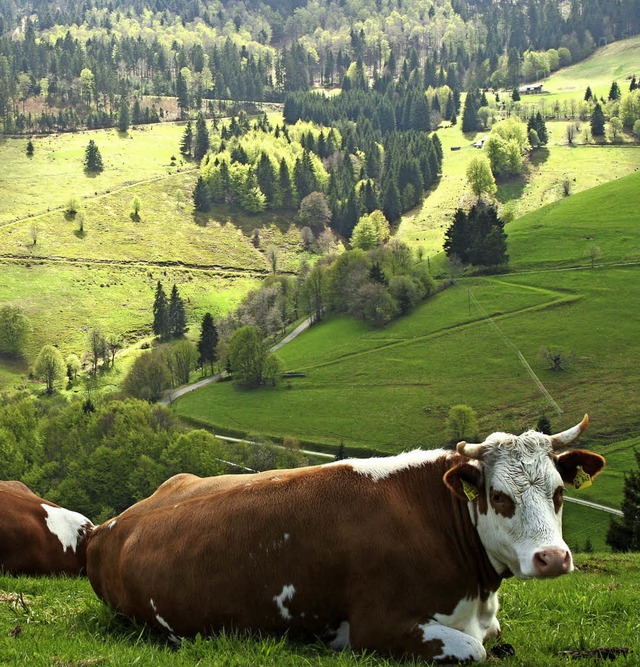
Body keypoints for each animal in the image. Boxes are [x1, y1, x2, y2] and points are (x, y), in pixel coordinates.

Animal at [86, 414, 604, 664]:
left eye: (559, 492)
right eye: (498, 497)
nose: (552, 558)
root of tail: (111, 527)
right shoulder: (380, 627)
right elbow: (477, 652)